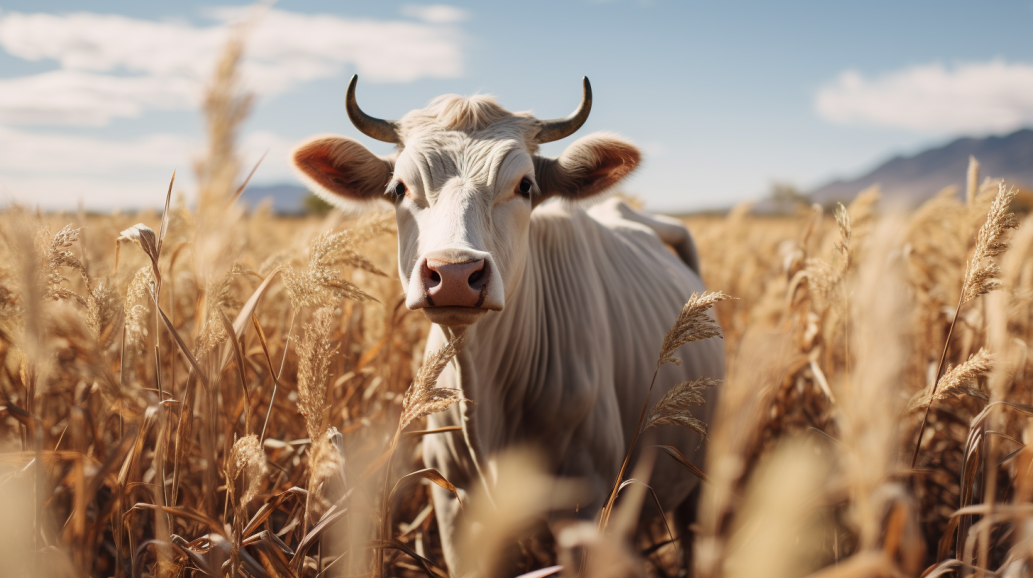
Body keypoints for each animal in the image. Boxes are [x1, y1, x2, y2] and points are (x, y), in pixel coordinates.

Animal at [291, 76, 724, 576]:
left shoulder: (583, 503)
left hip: (698, 474)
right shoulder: (451, 503)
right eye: (399, 188)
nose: (454, 273)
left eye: (525, 185)